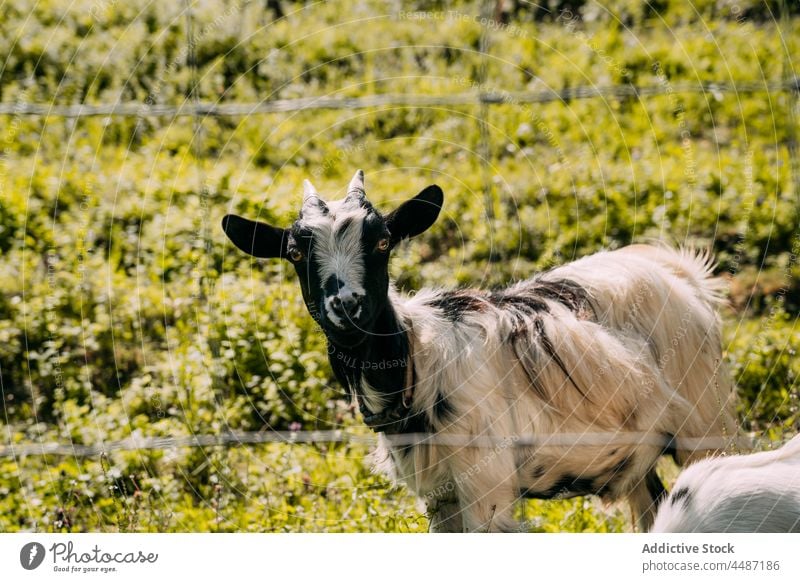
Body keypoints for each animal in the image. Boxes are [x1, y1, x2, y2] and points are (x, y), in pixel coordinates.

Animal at [220, 170, 736, 532]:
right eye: (295, 253)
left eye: (383, 241)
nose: (348, 305)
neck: (414, 363)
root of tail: (677, 269)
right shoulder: (440, 496)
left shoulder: (486, 489)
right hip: (639, 454)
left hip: (707, 423)